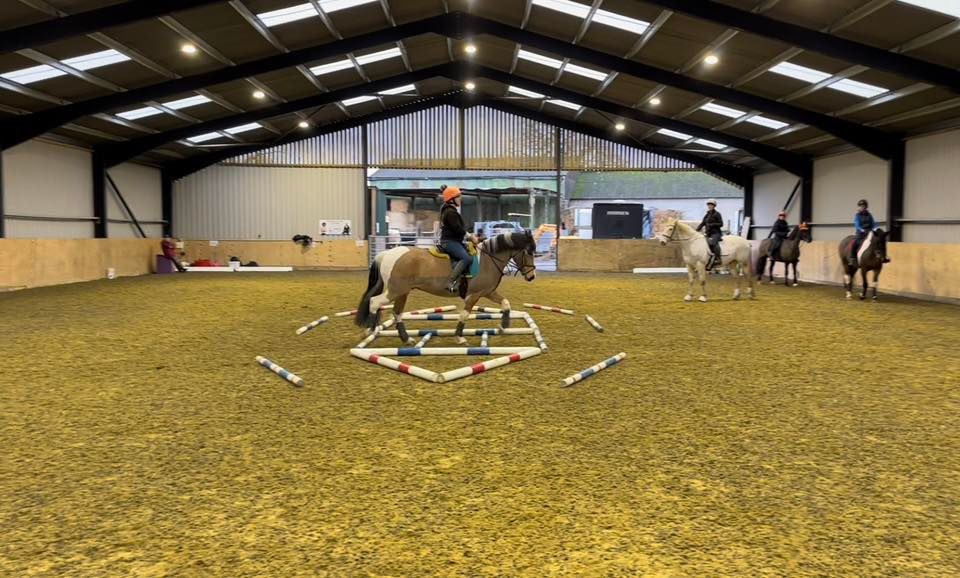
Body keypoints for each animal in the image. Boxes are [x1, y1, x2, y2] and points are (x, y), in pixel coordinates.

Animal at [354, 231, 536, 342]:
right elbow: (465, 314)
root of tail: (387, 254)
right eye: (528, 252)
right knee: (375, 302)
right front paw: (459, 336)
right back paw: (369, 331)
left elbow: (506, 304)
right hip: (394, 290)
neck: (488, 260)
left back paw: (406, 339)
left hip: (402, 292)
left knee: (396, 312)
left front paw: (503, 326)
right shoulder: (474, 295)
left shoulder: (488, 292)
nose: (531, 276)